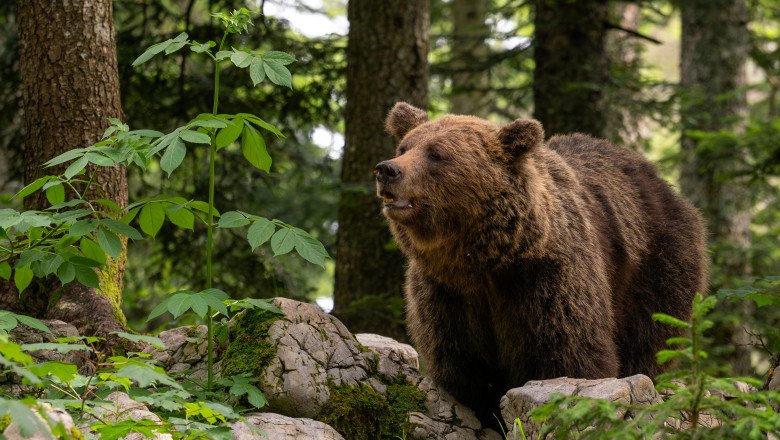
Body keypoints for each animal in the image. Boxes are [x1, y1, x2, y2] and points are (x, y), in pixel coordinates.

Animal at [374, 102, 708, 426]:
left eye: (436, 154)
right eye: (404, 147)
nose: (387, 169)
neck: (482, 261)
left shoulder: (546, 280)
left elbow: (566, 353)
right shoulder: (446, 292)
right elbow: (462, 363)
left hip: (656, 262)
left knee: (650, 334)